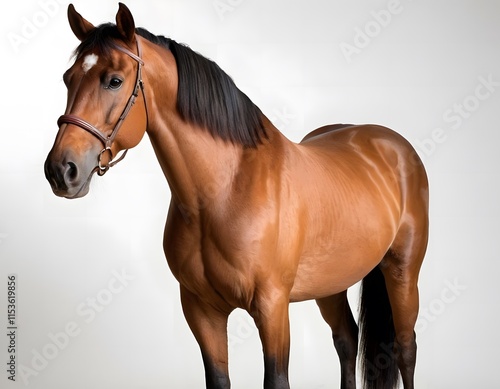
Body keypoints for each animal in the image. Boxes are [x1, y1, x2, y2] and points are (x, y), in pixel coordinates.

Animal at [45, 3, 430, 388]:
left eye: (114, 80)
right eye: (67, 78)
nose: (61, 170)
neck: (224, 191)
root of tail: (392, 144)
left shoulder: (273, 308)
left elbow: (276, 379)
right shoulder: (202, 310)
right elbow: (218, 379)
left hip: (402, 272)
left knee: (405, 348)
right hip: (332, 282)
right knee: (347, 340)